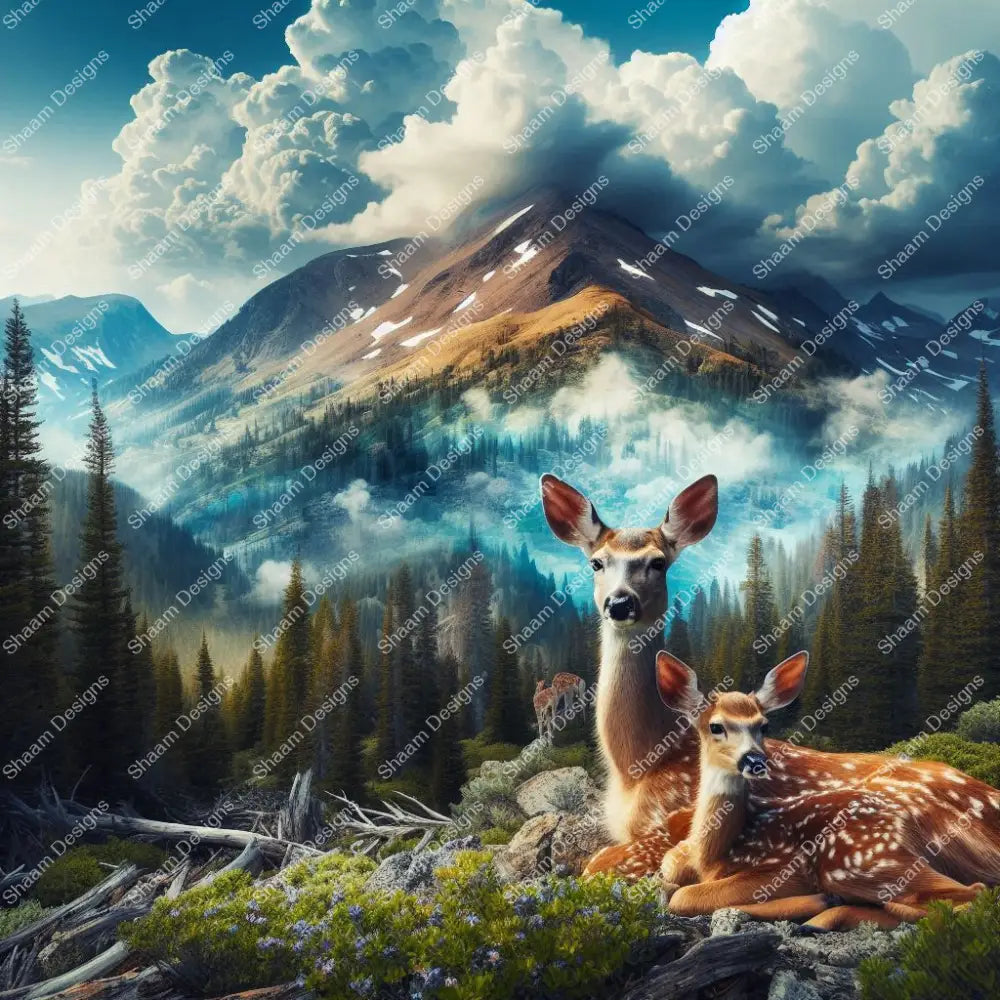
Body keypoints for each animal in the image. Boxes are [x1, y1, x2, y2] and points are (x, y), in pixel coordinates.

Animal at [539, 472, 1000, 887]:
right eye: (596, 562)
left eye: (657, 562)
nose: (620, 603)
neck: (639, 764)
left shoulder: (669, 816)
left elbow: (600, 862)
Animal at [656, 650, 992, 929]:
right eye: (716, 726)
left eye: (763, 725)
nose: (755, 760)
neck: (714, 853)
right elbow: (670, 873)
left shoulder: (779, 868)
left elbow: (684, 897)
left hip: (861, 861)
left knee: (968, 892)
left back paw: (821, 912)